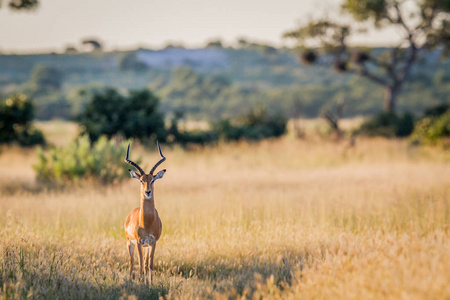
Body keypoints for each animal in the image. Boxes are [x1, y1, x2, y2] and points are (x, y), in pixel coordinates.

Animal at [123, 143, 165, 284]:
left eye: (153, 180)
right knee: (132, 262)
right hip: (130, 243)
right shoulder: (138, 241)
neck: (147, 222)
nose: (147, 192)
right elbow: (140, 264)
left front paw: (150, 283)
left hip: (145, 246)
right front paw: (141, 283)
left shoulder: (153, 242)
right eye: (141, 180)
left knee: (145, 263)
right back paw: (130, 280)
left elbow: (149, 264)